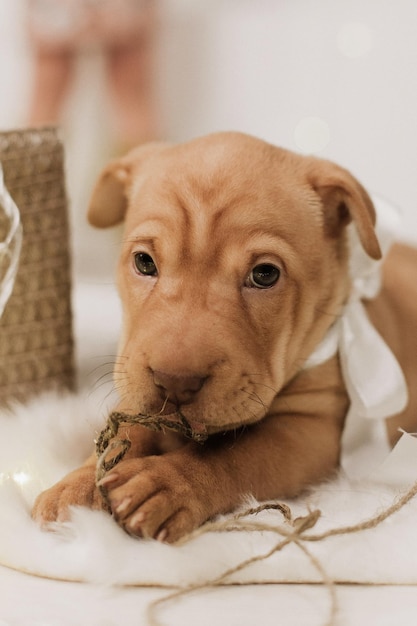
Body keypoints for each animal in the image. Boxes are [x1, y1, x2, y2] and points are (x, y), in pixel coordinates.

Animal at [31, 133, 416, 540]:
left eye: (265, 274)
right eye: (144, 262)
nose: (175, 382)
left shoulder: (311, 429)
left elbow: (234, 456)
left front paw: (165, 484)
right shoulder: (136, 386)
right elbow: (128, 429)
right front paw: (78, 485)